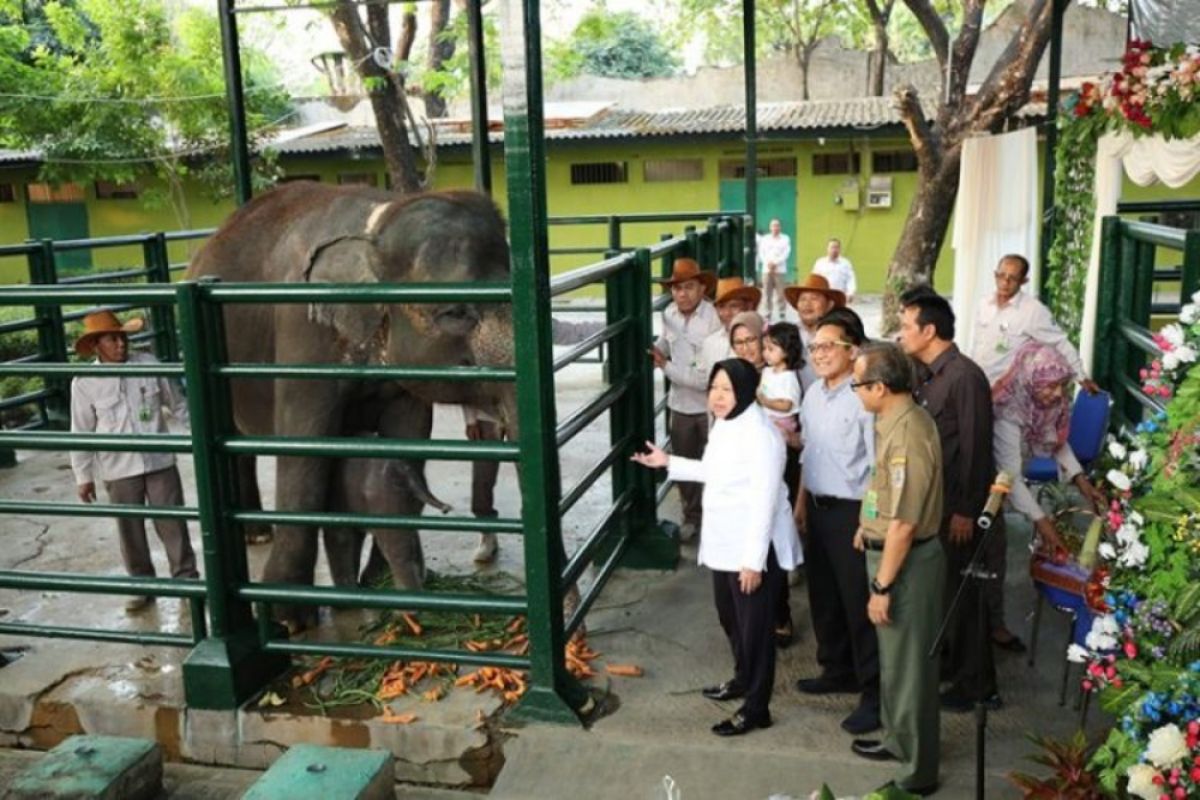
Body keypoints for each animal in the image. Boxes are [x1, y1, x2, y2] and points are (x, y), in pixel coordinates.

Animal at [188, 183, 520, 633]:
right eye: (454, 312)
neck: (377, 224)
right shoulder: (303, 332)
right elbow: (303, 452)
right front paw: (290, 621)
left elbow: (408, 437)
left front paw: (378, 581)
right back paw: (256, 537)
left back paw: (256, 533)